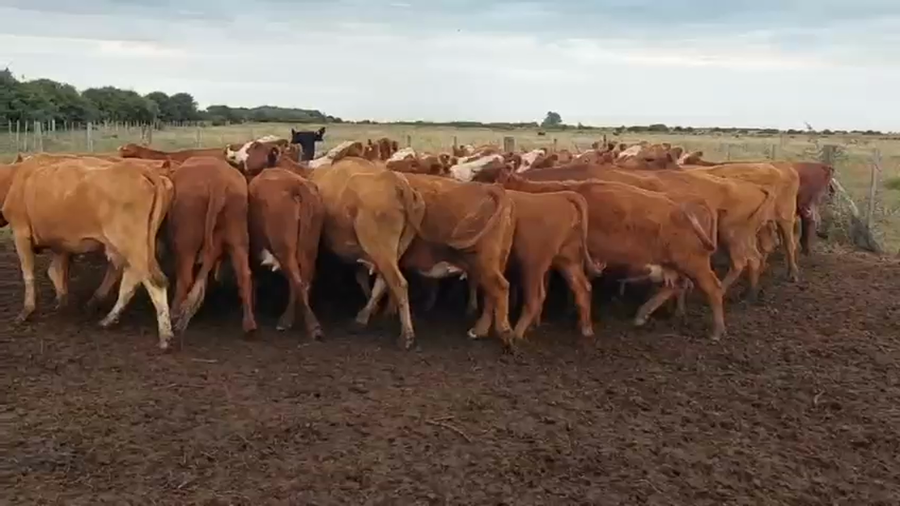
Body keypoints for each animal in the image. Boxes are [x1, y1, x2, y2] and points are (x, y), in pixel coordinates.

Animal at [0, 157, 175, 349]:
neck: (16, 177)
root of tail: (141, 169)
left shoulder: (21, 232)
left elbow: (29, 274)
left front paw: (27, 311)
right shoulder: (60, 242)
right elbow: (56, 271)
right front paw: (61, 302)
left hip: (131, 244)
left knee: (155, 282)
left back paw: (165, 337)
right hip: (134, 247)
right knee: (131, 279)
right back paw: (108, 319)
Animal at [166, 156, 257, 336]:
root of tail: (219, 180)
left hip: (188, 233)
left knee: (185, 275)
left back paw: (174, 313)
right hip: (237, 230)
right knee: (244, 273)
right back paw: (249, 325)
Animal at [248, 168, 325, 338]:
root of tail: (296, 184)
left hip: (284, 248)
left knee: (296, 280)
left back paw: (307, 325)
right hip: (308, 248)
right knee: (303, 280)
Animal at [308, 156, 426, 349]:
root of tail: (397, 183)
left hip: (380, 247)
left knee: (398, 283)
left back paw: (406, 336)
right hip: (394, 248)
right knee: (384, 281)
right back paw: (363, 317)